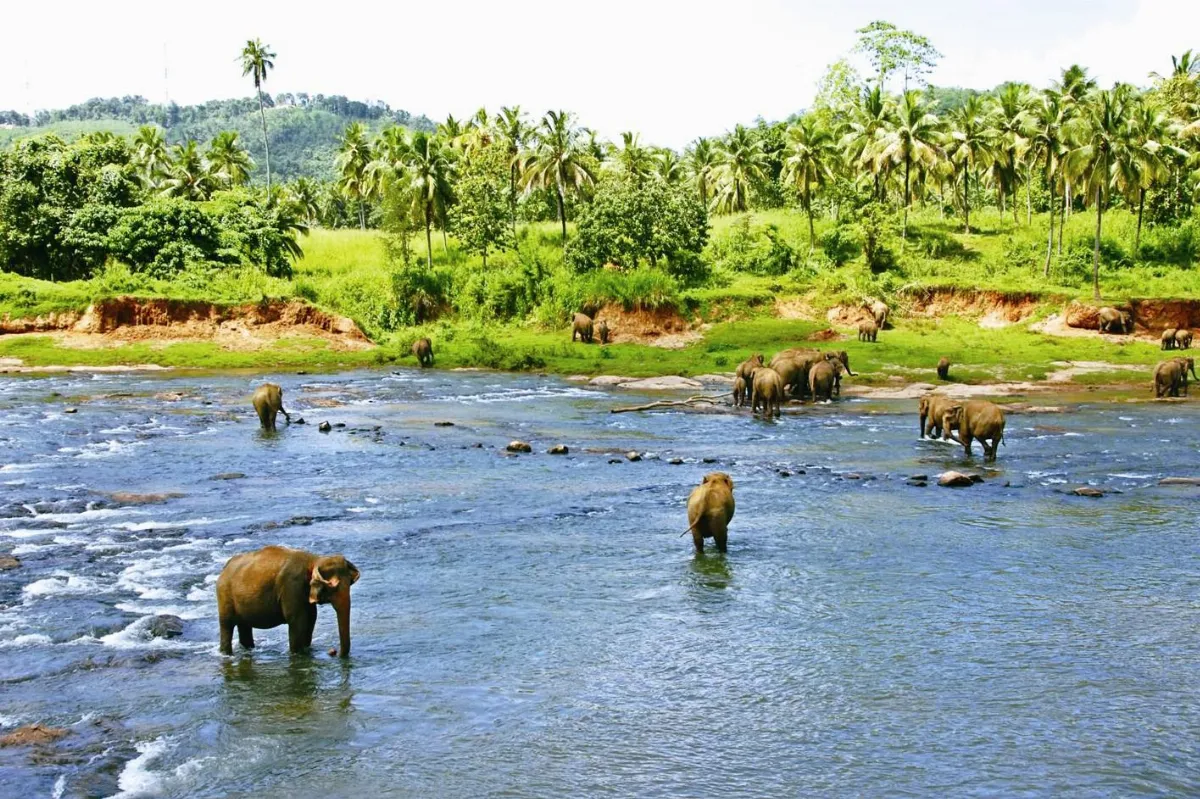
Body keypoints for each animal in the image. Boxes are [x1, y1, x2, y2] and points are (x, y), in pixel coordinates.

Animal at [217, 545, 360, 657]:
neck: (314, 559)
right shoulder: (292, 586)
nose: (333, 652)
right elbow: (298, 620)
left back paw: (248, 649)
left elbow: (311, 618)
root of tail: (225, 568)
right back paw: (226, 654)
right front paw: (297, 654)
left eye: (350, 583)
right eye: (333, 587)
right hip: (224, 595)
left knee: (244, 626)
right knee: (227, 625)